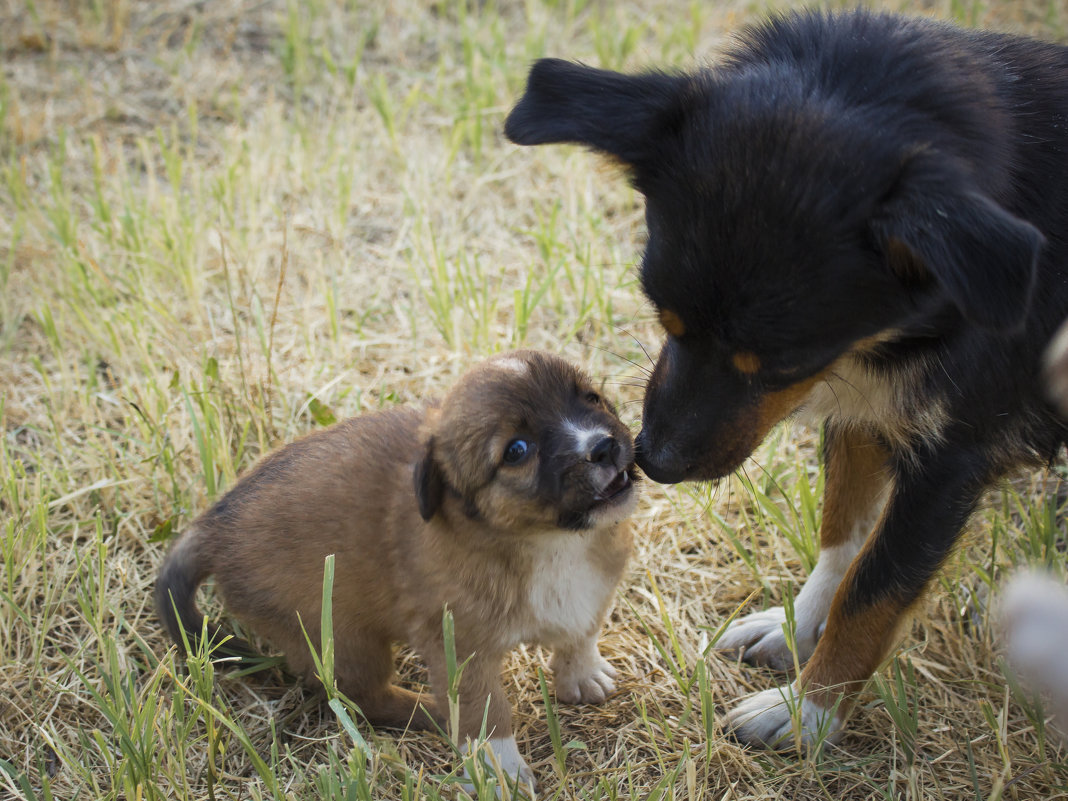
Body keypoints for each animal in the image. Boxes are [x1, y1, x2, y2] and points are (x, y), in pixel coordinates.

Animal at [155, 348, 636, 786]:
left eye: (591, 397)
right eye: (517, 450)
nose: (604, 447)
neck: (547, 542)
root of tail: (214, 526)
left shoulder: (591, 591)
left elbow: (580, 634)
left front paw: (583, 675)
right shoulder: (459, 651)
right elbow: (485, 715)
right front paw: (499, 771)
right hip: (345, 640)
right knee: (365, 698)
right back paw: (427, 711)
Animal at [504, 9, 1068, 751]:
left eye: (781, 363)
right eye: (665, 317)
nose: (655, 463)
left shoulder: (953, 459)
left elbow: (875, 587)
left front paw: (808, 712)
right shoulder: (865, 412)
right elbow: (842, 537)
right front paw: (797, 628)